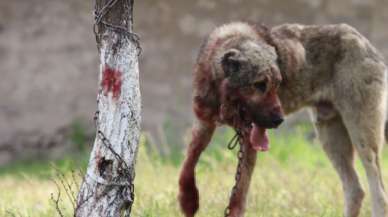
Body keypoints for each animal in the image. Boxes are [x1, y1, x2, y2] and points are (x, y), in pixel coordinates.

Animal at [178, 22, 388, 217]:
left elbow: (238, 197)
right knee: (355, 189)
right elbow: (189, 162)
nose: (279, 120)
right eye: (259, 85)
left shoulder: (248, 141)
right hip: (331, 137)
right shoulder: (204, 124)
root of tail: (363, 41)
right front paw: (188, 200)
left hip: (362, 137)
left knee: (379, 193)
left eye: (277, 84)